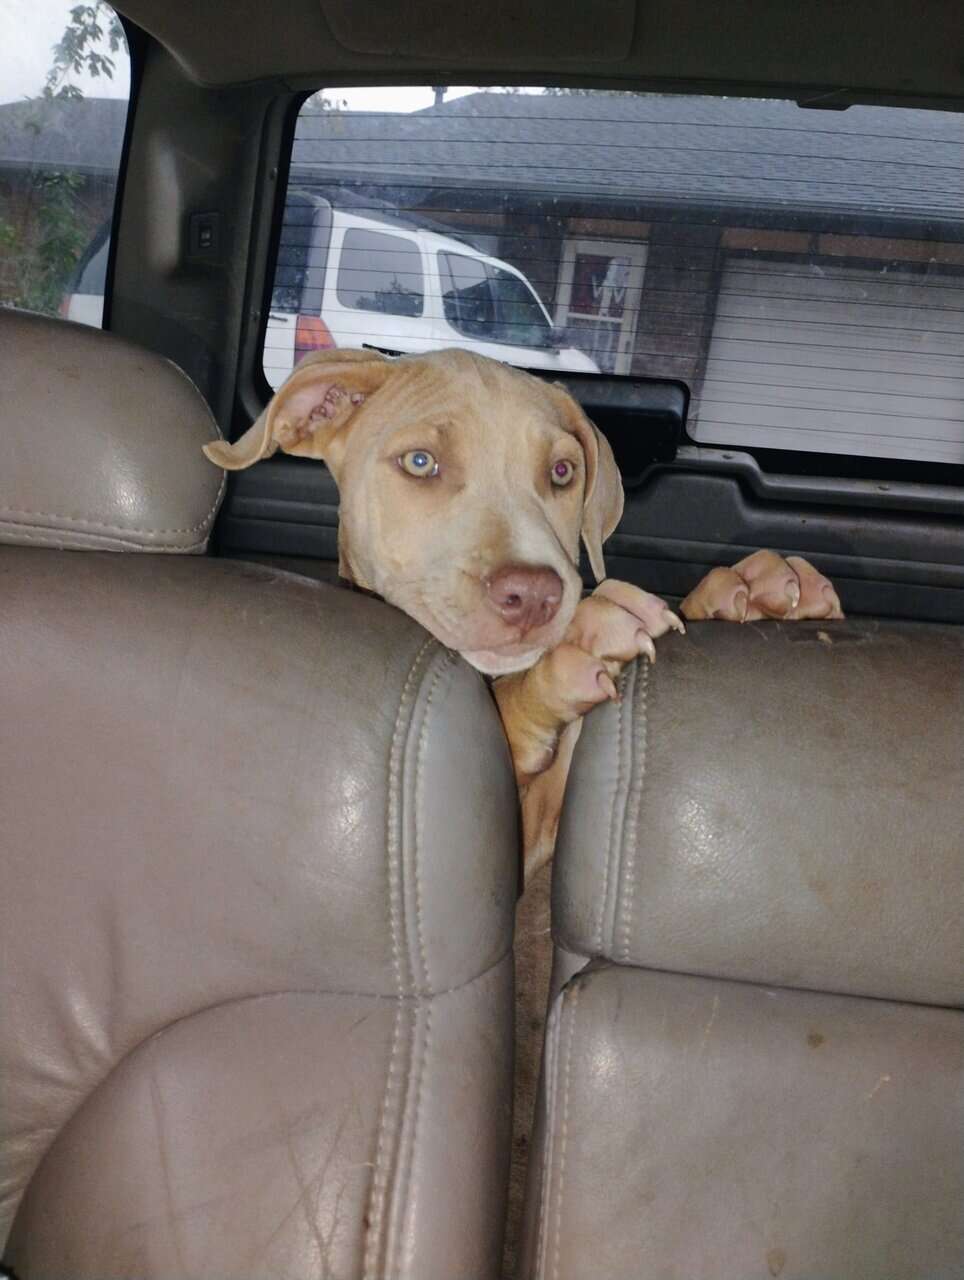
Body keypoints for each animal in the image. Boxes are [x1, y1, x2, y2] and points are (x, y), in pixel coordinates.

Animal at [204, 348, 842, 879]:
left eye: (562, 472)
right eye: (420, 462)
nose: (535, 595)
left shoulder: (550, 823)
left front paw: (749, 591)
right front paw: (574, 648)